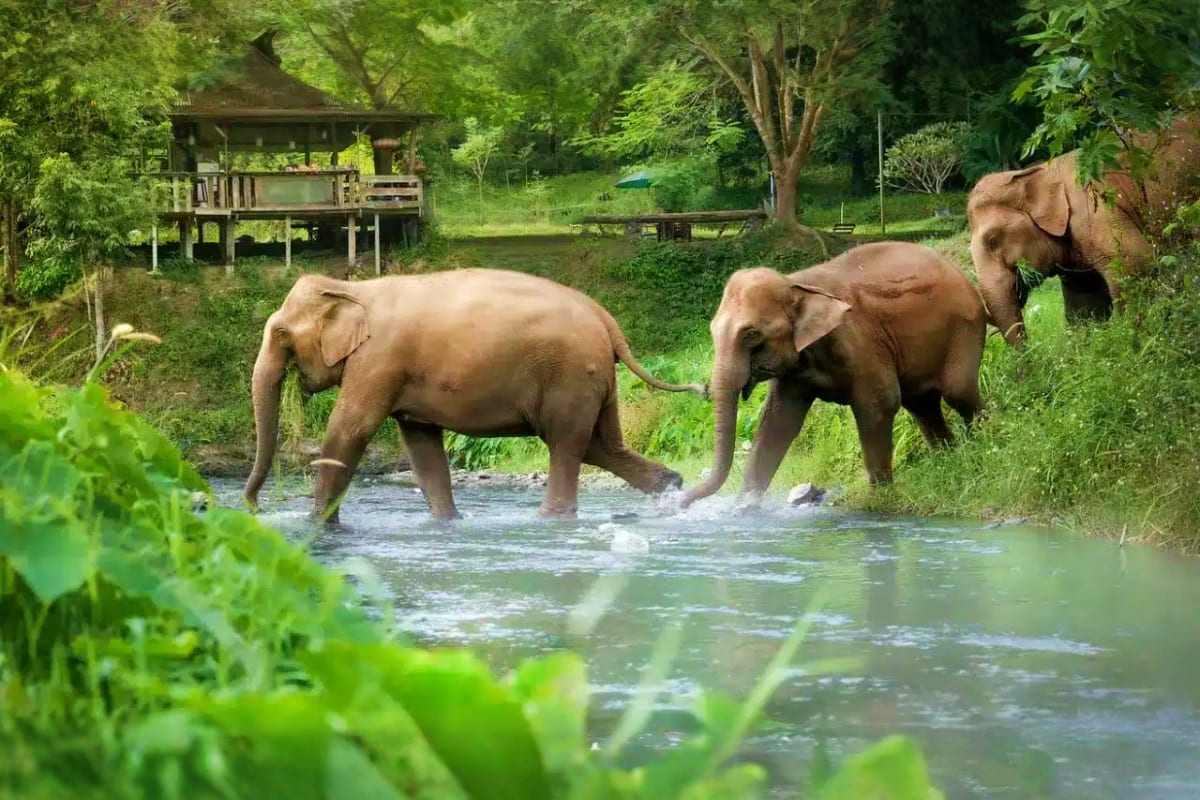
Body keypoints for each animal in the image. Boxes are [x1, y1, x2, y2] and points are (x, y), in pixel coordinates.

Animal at [244, 269, 707, 522]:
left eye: (282, 334)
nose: (254, 508)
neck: (352, 287)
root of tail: (606, 319)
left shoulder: (379, 362)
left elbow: (350, 429)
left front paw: (317, 525)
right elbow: (420, 443)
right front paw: (447, 522)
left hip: (570, 375)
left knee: (565, 443)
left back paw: (550, 519)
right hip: (594, 377)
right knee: (600, 444)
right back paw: (671, 487)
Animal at [680, 241, 986, 508]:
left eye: (751, 334)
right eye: (712, 331)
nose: (679, 502)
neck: (796, 284)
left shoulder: (859, 340)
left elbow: (879, 404)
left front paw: (879, 498)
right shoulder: (796, 368)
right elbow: (779, 421)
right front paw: (744, 508)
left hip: (964, 327)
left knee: (957, 392)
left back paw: (984, 443)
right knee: (922, 405)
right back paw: (949, 459)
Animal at [968, 114, 1200, 345]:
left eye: (992, 240)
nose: (1028, 349)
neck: (1036, 172)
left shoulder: (1096, 214)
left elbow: (1134, 261)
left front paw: (1133, 338)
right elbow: (1085, 303)